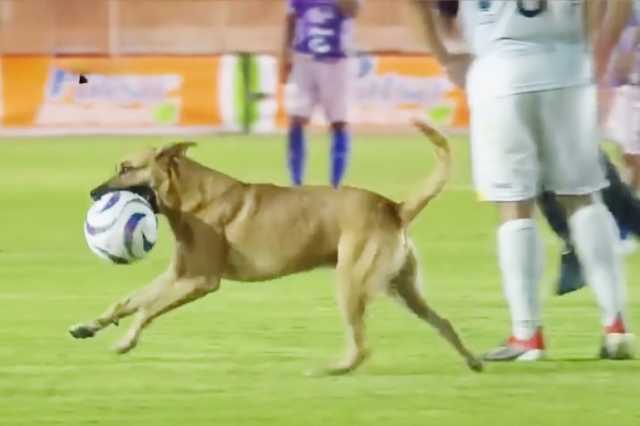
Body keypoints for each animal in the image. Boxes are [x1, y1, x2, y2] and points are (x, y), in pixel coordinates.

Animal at [69, 119, 480, 372]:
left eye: (126, 168)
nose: (92, 193)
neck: (190, 198)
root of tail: (394, 208)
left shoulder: (200, 281)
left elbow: (146, 310)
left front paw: (125, 341)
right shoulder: (178, 275)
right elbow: (126, 302)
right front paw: (89, 326)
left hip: (351, 283)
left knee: (362, 345)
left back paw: (332, 370)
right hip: (401, 288)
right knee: (443, 322)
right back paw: (473, 361)